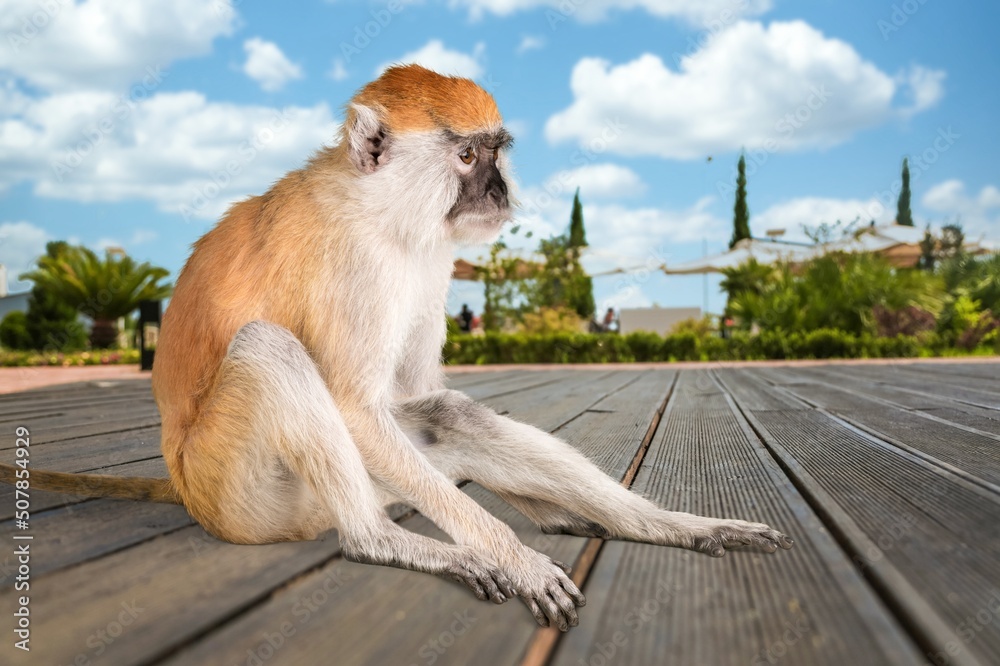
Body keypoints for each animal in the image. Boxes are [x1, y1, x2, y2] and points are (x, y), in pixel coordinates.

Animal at [0, 65, 792, 632]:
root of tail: (183, 480)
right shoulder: (354, 262)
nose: (498, 191)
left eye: (496, 154)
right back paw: (381, 540)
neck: (377, 204)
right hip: (245, 495)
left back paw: (651, 524)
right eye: (467, 155)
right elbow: (356, 407)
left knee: (449, 416)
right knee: (269, 349)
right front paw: (520, 561)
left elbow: (419, 396)